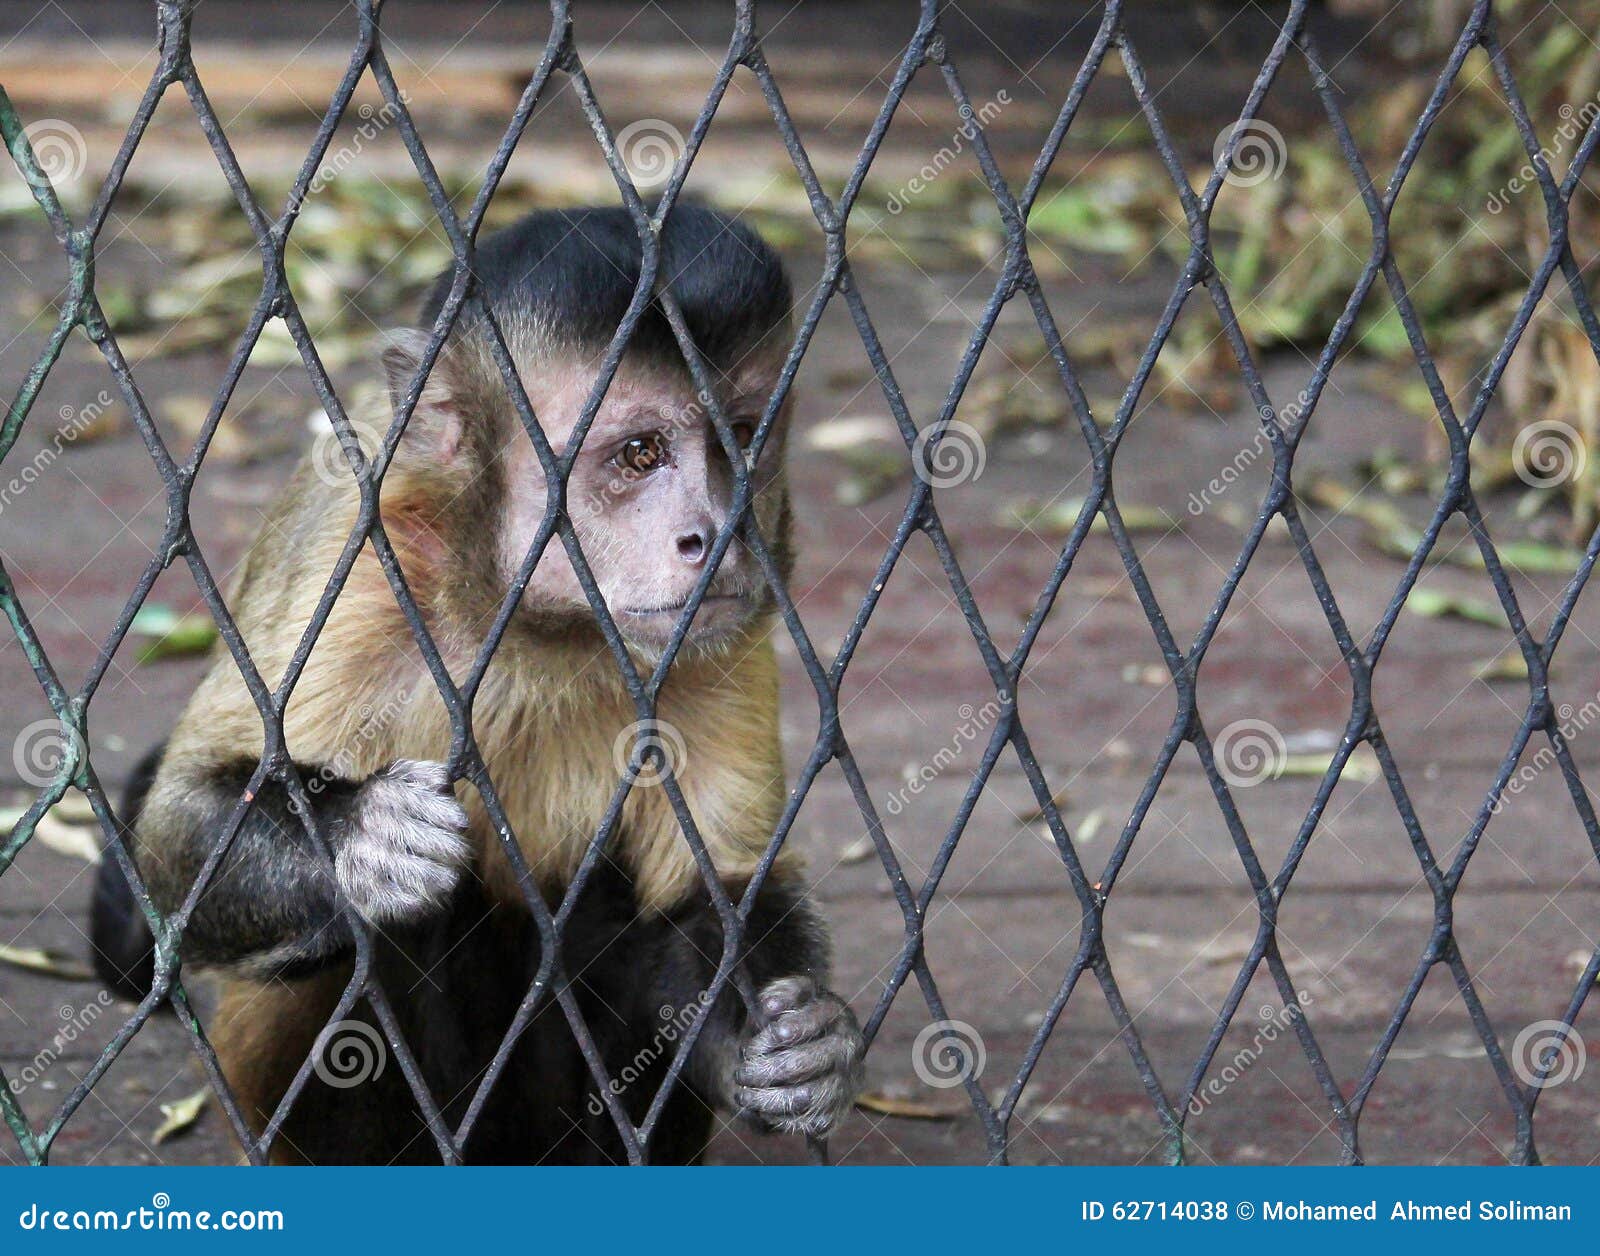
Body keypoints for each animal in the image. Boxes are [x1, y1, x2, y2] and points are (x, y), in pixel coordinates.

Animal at [88, 205, 865, 1164]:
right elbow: (175, 831)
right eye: (640, 454)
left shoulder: (728, 632)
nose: (714, 533)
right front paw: (363, 838)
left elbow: (713, 899)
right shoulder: (362, 558)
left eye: (740, 438)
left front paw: (804, 1052)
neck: (538, 625)